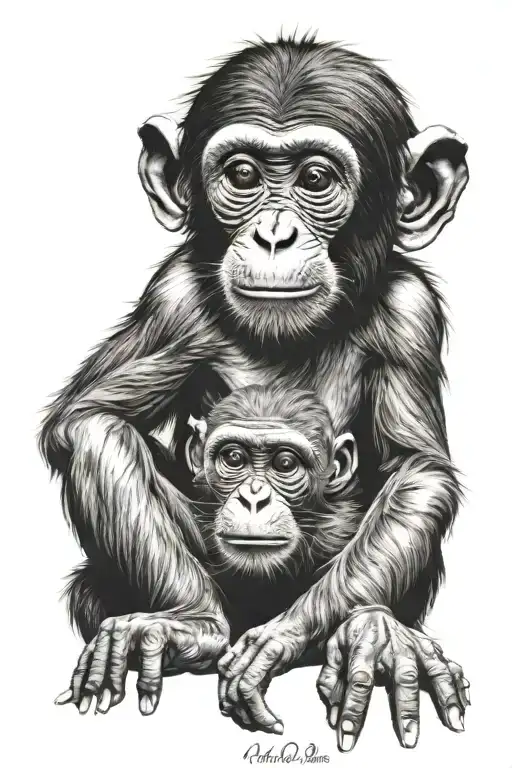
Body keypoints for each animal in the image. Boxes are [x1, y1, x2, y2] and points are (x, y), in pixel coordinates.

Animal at [41, 33, 469, 747]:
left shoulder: (413, 310)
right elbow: (92, 418)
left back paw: (378, 634)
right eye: (242, 176)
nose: (274, 234)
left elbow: (419, 469)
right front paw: (186, 625)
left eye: (315, 180)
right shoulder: (174, 298)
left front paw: (287, 639)